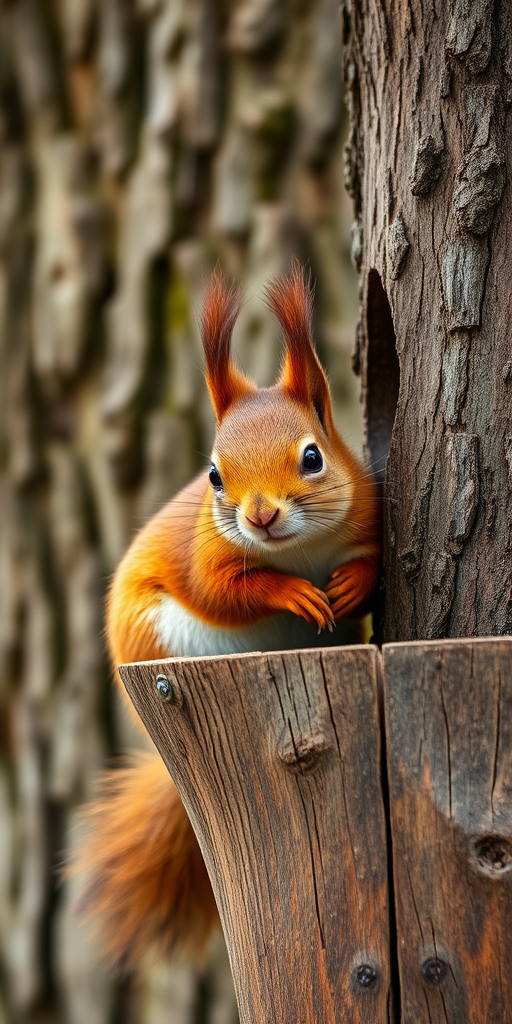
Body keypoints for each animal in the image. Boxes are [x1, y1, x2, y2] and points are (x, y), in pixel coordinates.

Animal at [74, 264, 381, 969]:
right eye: (214, 475)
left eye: (314, 457)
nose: (260, 515)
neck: (299, 548)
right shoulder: (204, 557)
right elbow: (225, 592)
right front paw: (292, 594)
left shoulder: (369, 511)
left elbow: (372, 563)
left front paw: (350, 584)